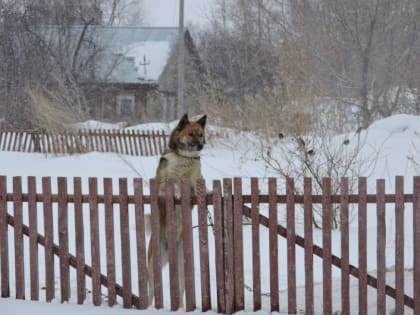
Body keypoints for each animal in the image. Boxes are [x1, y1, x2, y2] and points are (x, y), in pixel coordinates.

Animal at [147, 114, 208, 308]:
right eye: (191, 134)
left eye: (201, 134)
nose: (201, 145)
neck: (185, 159)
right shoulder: (161, 186)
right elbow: (171, 184)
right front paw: (177, 191)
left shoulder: (196, 181)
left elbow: (199, 186)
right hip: (153, 263)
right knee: (152, 289)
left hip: (184, 266)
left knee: (182, 289)